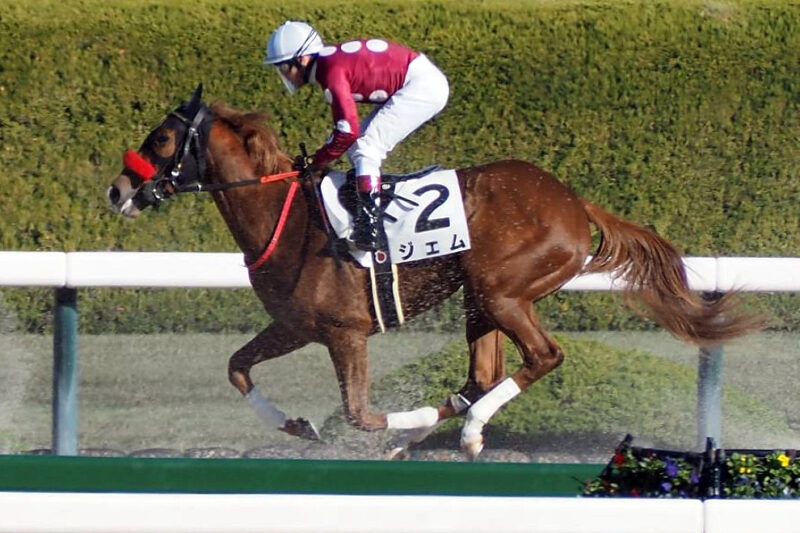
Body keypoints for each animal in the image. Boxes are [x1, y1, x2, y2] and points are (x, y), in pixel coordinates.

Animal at [107, 85, 763, 459]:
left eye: (162, 138)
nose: (117, 190)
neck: (285, 218)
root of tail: (574, 203)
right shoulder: (295, 326)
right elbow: (237, 368)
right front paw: (297, 424)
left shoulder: (345, 333)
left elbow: (359, 412)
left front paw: (387, 425)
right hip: (480, 297)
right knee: (482, 375)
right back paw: (438, 430)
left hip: (502, 292)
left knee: (542, 357)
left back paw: (462, 431)